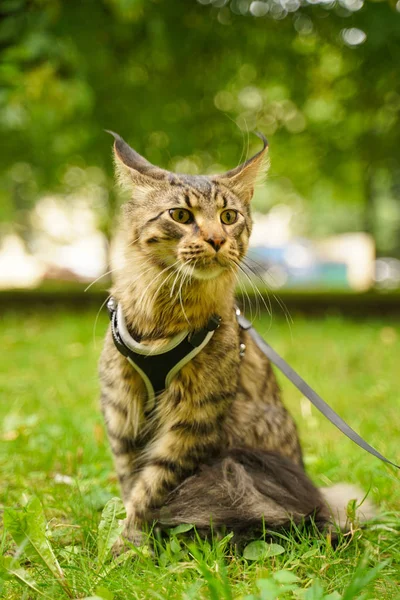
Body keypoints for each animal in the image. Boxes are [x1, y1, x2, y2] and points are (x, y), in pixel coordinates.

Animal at [98, 132, 374, 548]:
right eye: (181, 216)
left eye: (229, 217)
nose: (216, 239)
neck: (166, 311)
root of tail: (319, 503)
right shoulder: (123, 410)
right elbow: (132, 481)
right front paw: (125, 544)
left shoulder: (193, 421)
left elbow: (150, 487)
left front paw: (128, 545)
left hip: (241, 463)